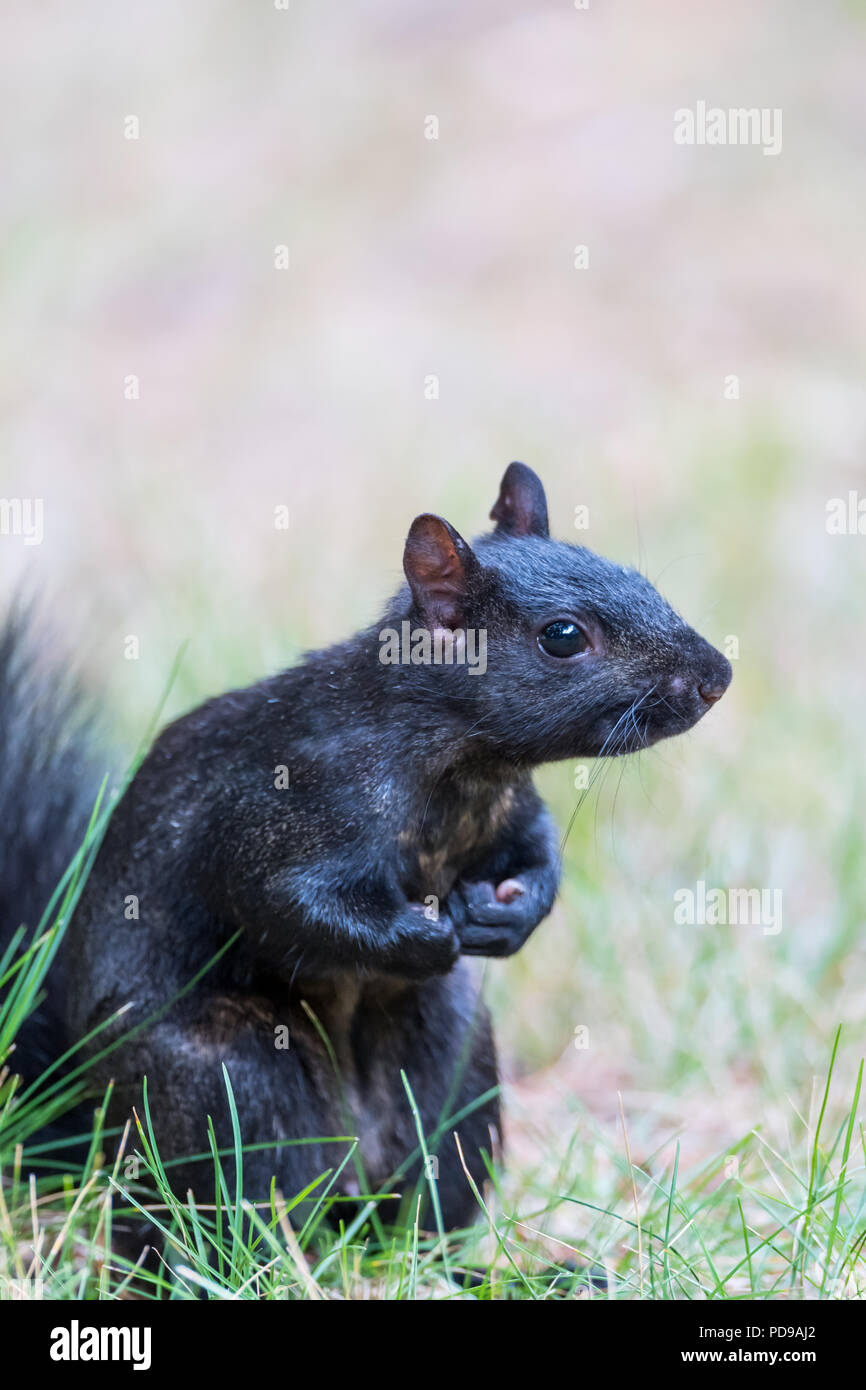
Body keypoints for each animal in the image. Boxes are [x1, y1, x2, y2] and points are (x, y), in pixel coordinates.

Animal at [0, 462, 731, 1235]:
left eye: (640, 579)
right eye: (562, 637)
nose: (717, 676)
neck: (462, 765)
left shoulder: (511, 812)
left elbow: (537, 855)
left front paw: (510, 915)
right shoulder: (280, 809)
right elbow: (284, 900)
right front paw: (426, 938)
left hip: (452, 1070)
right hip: (228, 1082)